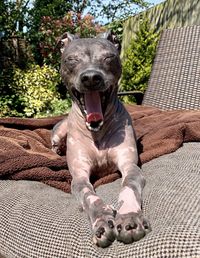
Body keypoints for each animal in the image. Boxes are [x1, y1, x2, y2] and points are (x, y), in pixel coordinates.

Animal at [50, 31, 151, 247]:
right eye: (71, 59)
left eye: (108, 57)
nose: (90, 77)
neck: (97, 131)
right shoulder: (79, 176)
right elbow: (90, 197)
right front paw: (102, 219)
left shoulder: (130, 165)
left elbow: (128, 186)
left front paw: (129, 217)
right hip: (59, 131)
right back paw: (58, 148)